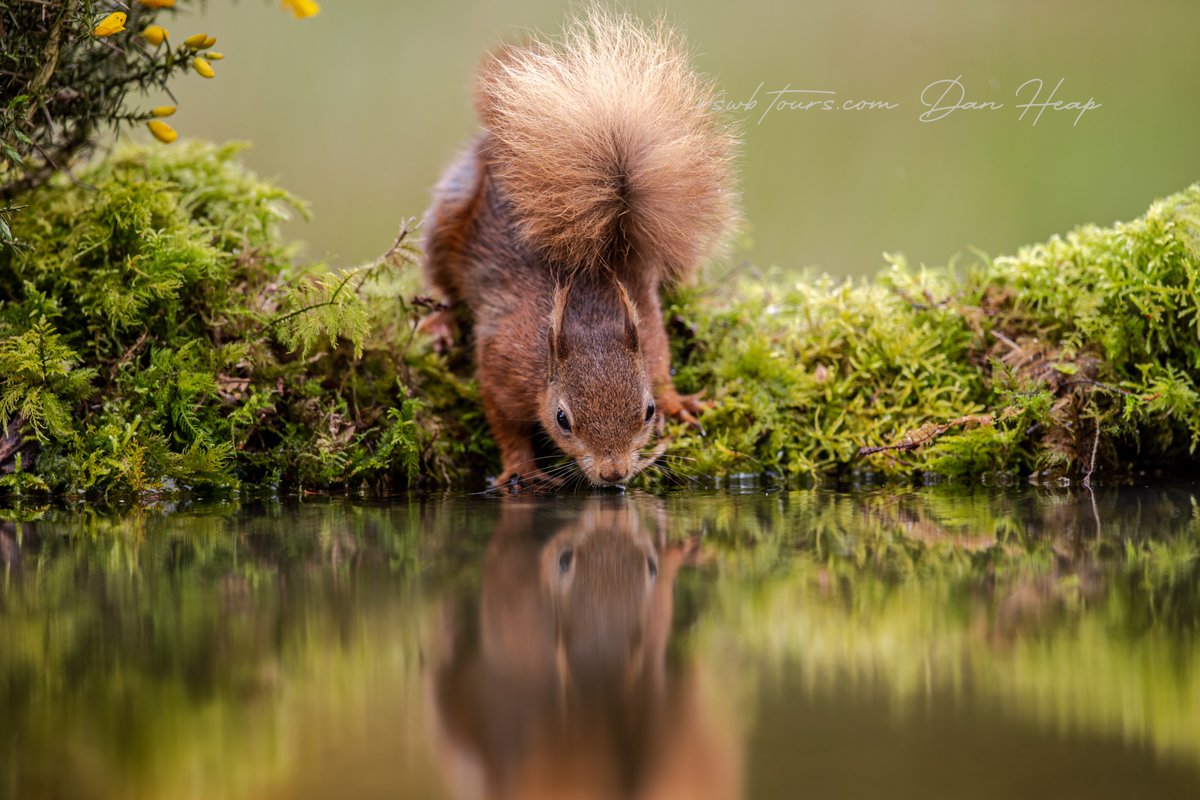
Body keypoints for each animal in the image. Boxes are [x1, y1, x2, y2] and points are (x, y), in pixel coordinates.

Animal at [421, 8, 738, 488]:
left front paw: (678, 401)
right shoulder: (502, 363)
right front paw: (521, 468)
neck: (588, 319)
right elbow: (503, 422)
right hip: (450, 213)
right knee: (440, 280)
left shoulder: (649, 329)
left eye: (647, 411)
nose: (614, 472)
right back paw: (439, 322)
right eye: (562, 419)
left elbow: (661, 367)